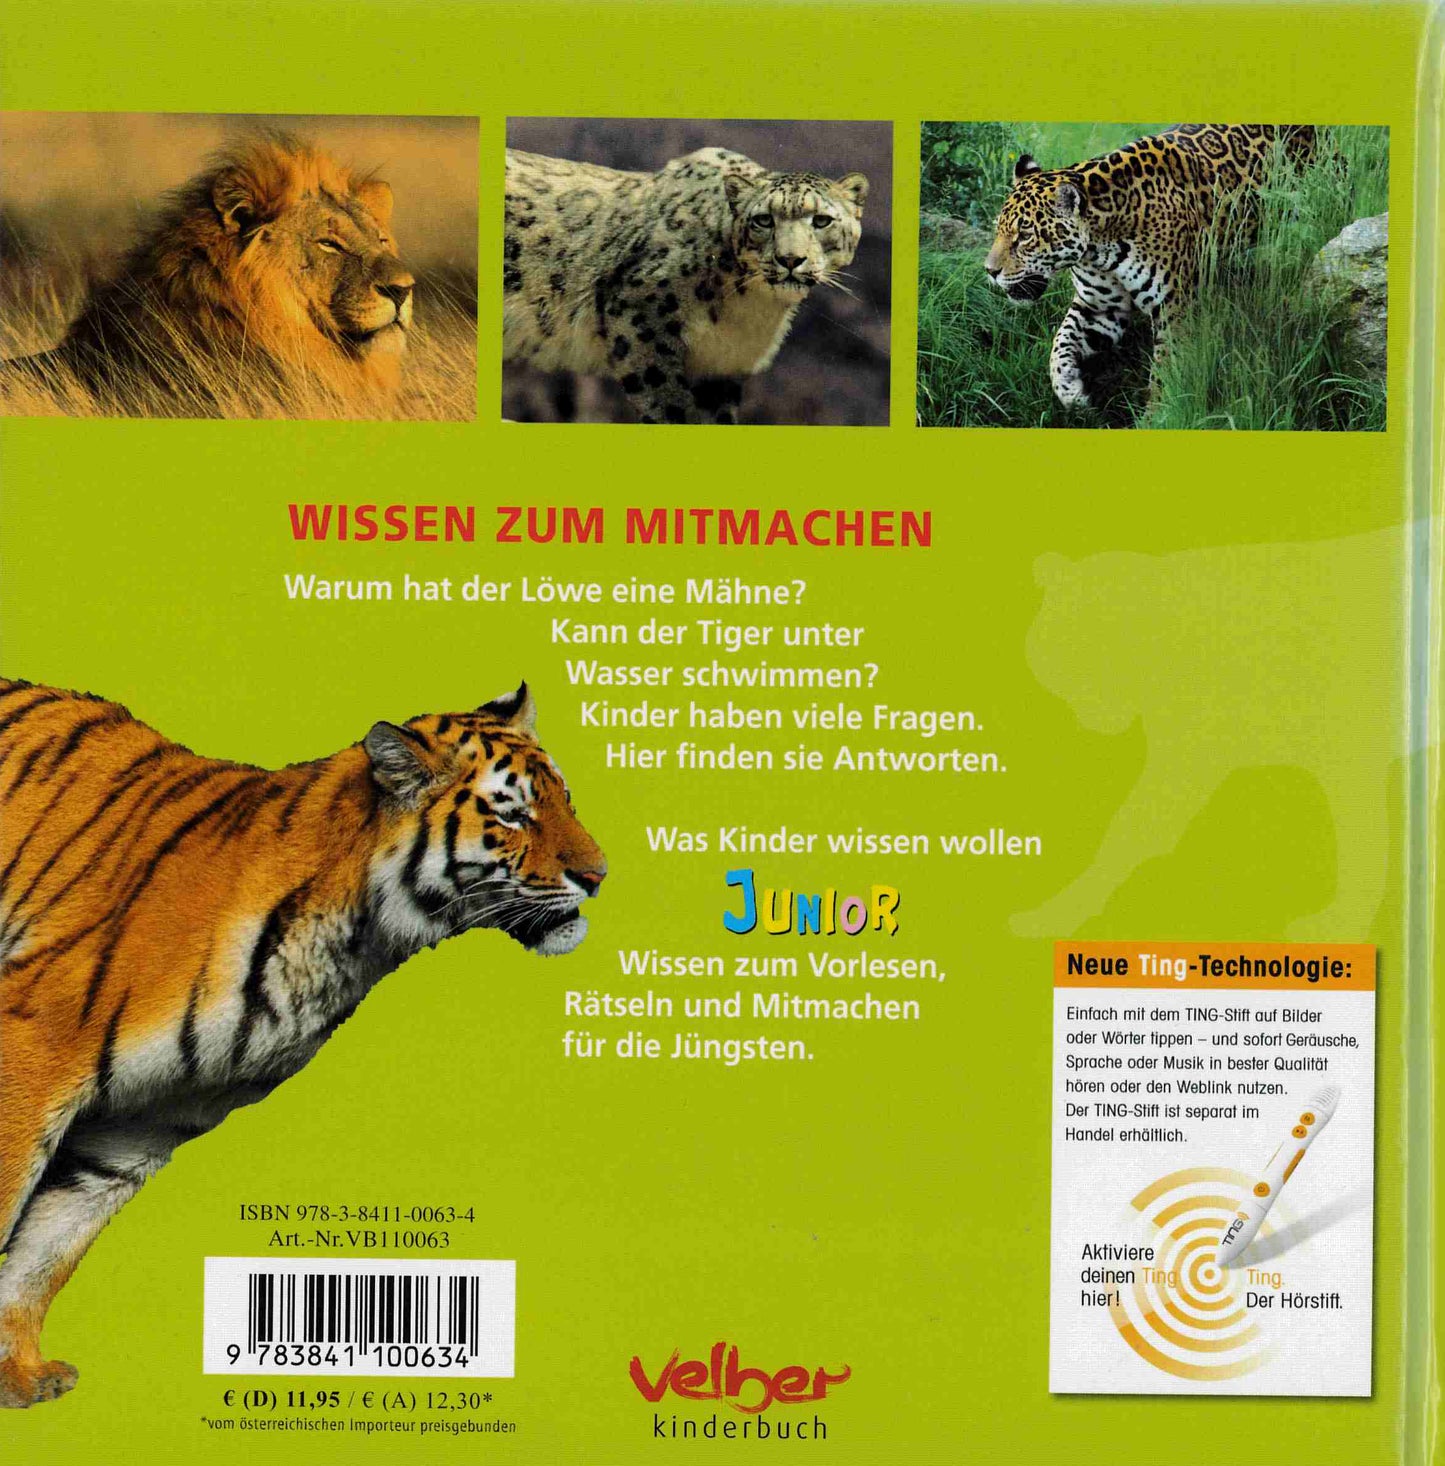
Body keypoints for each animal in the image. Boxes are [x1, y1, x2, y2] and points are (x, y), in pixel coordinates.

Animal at [0, 678, 605, 1407]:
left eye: (565, 801)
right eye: (512, 815)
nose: (599, 876)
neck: (356, 940)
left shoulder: (139, 1127)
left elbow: (45, 1255)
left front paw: (19, 1377)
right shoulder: (33, 1048)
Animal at [983, 124, 1318, 408]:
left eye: (1025, 235)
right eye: (998, 229)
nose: (990, 271)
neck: (1099, 248)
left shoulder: (1175, 310)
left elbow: (1165, 371)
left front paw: (1157, 414)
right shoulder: (1100, 309)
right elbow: (1061, 341)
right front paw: (1070, 391)